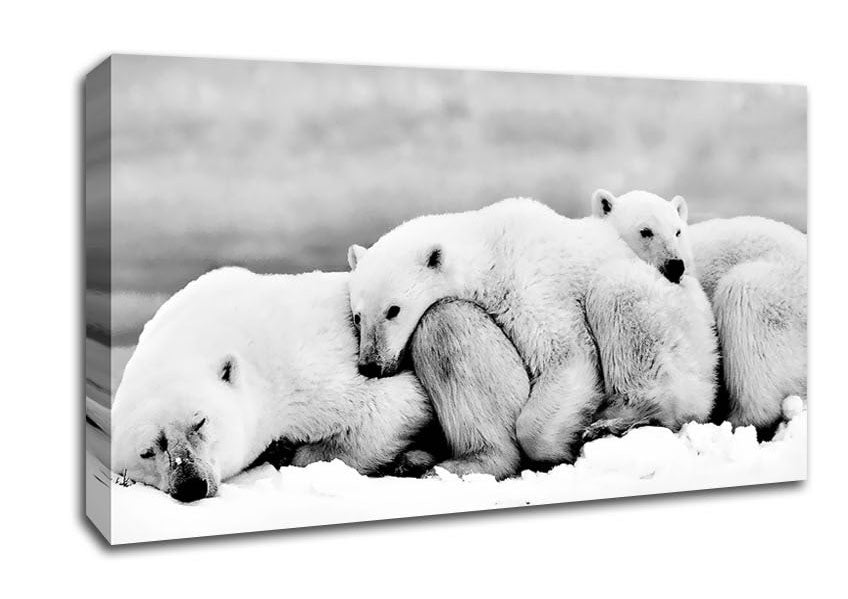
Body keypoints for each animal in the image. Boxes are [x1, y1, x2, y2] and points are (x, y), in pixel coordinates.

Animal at [346, 197, 680, 466]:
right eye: (358, 316)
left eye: (393, 310)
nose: (371, 365)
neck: (490, 249)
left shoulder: (530, 283)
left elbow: (565, 354)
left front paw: (559, 445)